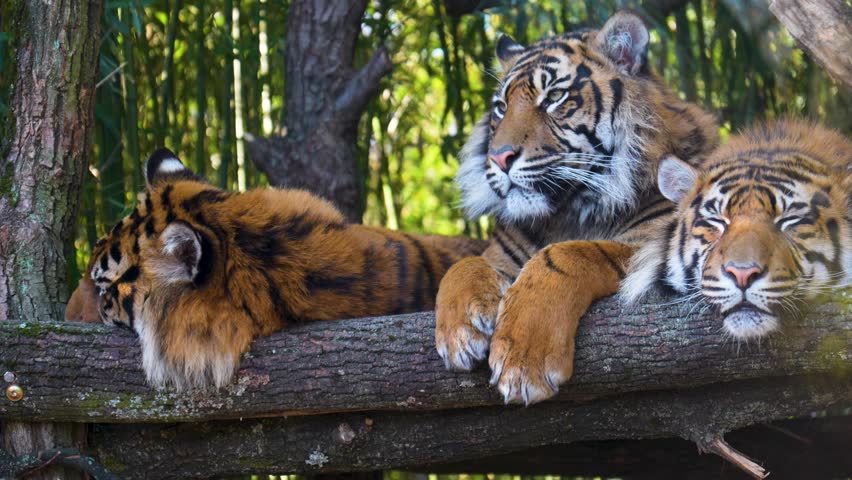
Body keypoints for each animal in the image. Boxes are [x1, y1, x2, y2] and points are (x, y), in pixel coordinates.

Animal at [435, 10, 719, 405]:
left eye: (554, 97)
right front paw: (458, 334)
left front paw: (523, 361)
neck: (567, 211)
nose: (499, 157)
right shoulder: (501, 253)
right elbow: (463, 265)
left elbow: (566, 254)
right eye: (501, 108)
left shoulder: (649, 247)